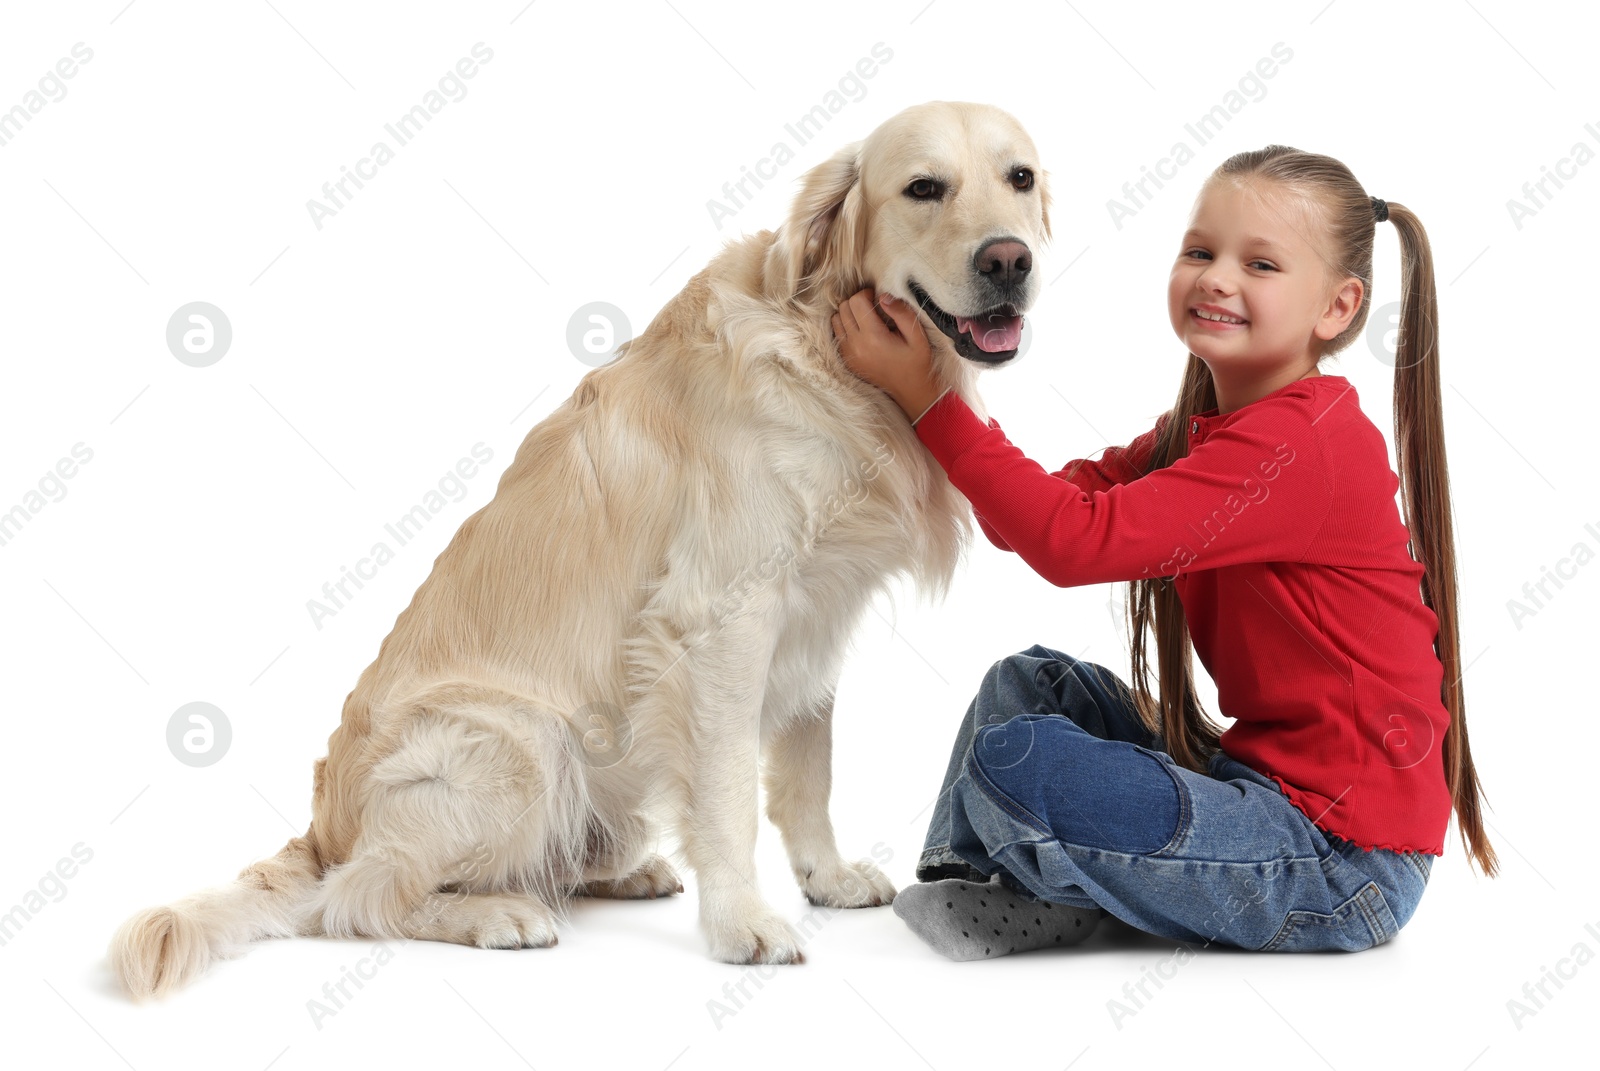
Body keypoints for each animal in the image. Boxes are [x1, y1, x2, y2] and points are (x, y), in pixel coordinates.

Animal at [103, 98, 1049, 992]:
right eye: (923, 187)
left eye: (1021, 178)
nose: (1009, 261)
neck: (822, 347)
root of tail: (321, 830)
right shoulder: (726, 616)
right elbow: (729, 793)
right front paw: (742, 922)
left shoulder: (814, 612)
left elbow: (806, 771)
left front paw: (826, 874)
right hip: (523, 741)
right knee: (359, 898)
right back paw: (495, 912)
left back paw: (619, 872)